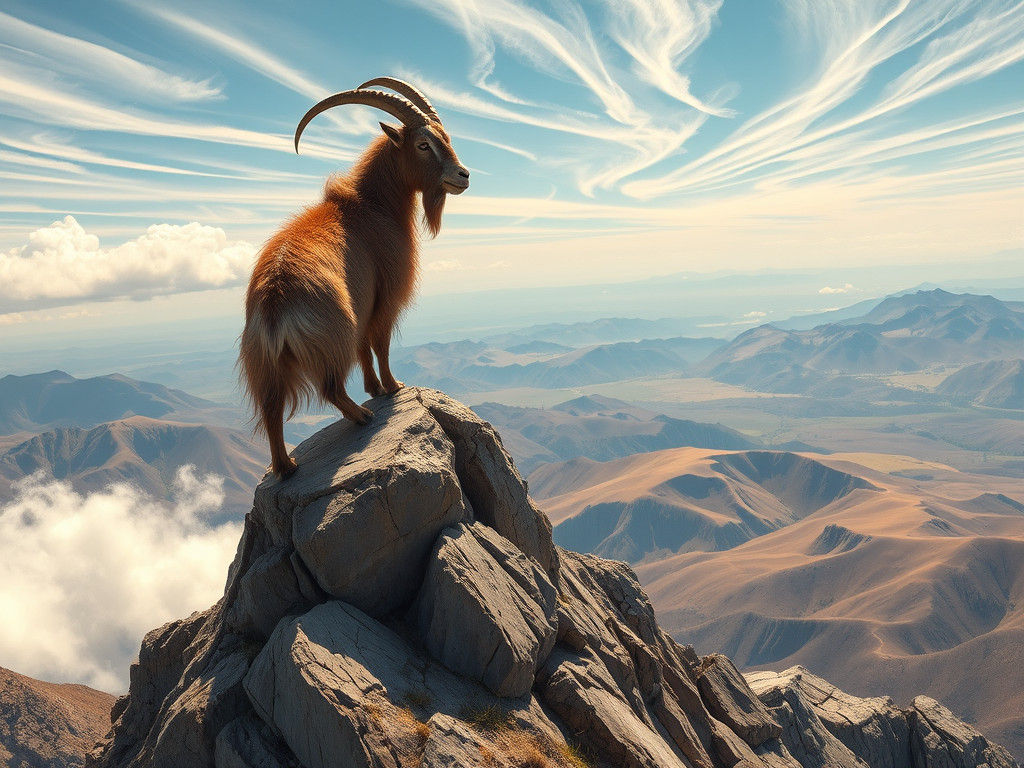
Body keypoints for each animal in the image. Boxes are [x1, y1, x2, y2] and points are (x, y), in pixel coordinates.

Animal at [239, 77, 469, 477]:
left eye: (445, 138)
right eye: (423, 144)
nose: (463, 175)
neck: (371, 205)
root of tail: (274, 300)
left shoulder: (364, 301)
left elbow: (365, 347)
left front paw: (375, 388)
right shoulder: (386, 297)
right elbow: (380, 343)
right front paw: (391, 387)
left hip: (265, 364)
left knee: (271, 409)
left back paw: (287, 466)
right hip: (334, 334)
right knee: (330, 387)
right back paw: (361, 416)